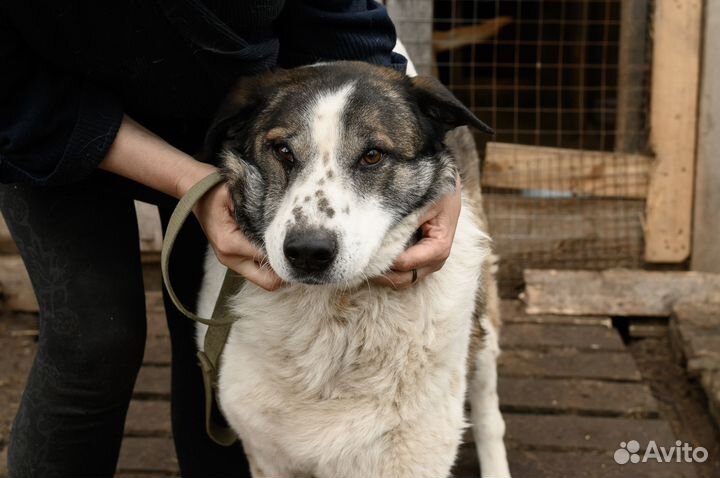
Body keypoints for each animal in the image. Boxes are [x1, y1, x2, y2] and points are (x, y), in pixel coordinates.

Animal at [197, 61, 512, 476]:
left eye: (373, 155)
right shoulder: (266, 454)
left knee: (490, 412)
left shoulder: (412, 456)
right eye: (282, 150)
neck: (333, 316)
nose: (307, 252)